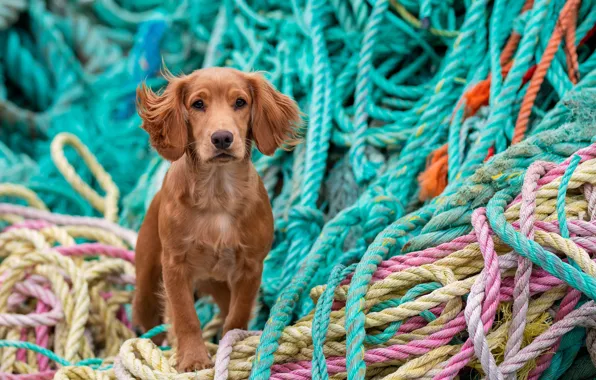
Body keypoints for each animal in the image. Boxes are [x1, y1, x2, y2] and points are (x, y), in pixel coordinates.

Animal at [134, 67, 300, 372]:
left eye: (240, 102)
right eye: (198, 104)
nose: (222, 138)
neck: (217, 193)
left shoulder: (250, 267)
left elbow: (237, 317)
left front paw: (230, 348)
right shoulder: (174, 266)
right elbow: (185, 316)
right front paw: (192, 358)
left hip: (221, 285)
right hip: (146, 287)